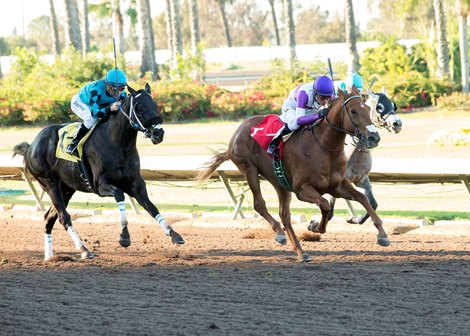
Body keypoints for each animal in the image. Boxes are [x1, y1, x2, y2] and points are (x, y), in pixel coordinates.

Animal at [11, 83, 185, 260]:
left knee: (49, 218)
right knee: (63, 217)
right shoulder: (101, 184)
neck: (118, 144)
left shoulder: (136, 184)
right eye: (139, 107)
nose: (158, 133)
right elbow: (120, 195)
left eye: (155, 105)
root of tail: (32, 146)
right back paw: (84, 249)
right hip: (49, 183)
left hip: (66, 188)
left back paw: (49, 257)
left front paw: (174, 234)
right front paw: (124, 236)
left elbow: (151, 207)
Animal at [198, 85, 390, 262]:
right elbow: (325, 206)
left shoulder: (337, 186)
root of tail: (238, 131)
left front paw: (382, 235)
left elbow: (363, 198)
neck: (324, 147)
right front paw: (315, 226)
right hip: (249, 170)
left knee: (285, 215)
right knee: (260, 205)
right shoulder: (302, 190)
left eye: (368, 109)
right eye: (353, 111)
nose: (374, 137)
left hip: (279, 182)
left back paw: (301, 251)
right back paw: (280, 234)